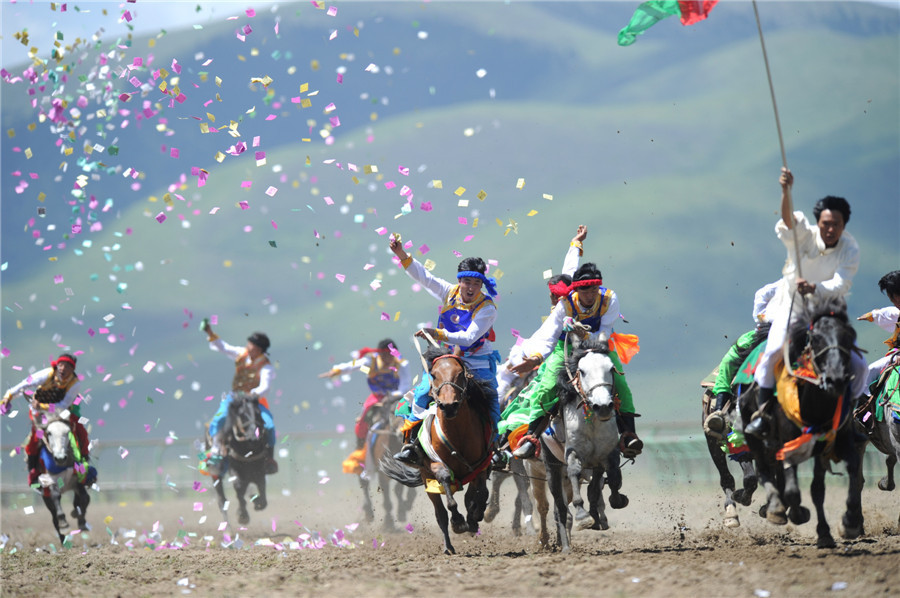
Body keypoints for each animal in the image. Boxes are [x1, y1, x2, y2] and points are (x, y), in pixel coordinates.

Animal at [207, 394, 270, 524]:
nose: (254, 437)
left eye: (258, 413)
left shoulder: (259, 468)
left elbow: (261, 487)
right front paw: (242, 515)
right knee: (222, 500)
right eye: (242, 415)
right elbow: (239, 487)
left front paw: (256, 501)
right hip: (216, 473)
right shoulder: (235, 468)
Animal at [380, 350, 492, 556]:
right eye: (433, 374)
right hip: (426, 478)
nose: (449, 406)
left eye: (460, 373)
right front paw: (458, 521)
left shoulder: (480, 465)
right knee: (440, 514)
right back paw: (449, 546)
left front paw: (475, 516)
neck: (457, 433)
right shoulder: (433, 464)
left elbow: (480, 494)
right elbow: (446, 479)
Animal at [540, 336, 624, 556]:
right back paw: (565, 546)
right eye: (582, 371)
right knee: (560, 509)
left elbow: (610, 477)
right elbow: (575, 472)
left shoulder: (605, 454)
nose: (603, 406)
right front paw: (583, 516)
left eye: (611, 368)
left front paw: (613, 501)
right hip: (551, 466)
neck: (592, 421)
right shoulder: (573, 453)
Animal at [740, 298, 864, 552]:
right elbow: (793, 489)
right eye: (816, 339)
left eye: (849, 336)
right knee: (764, 471)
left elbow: (827, 484)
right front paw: (796, 513)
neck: (814, 405)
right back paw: (775, 508)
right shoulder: (789, 441)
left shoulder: (834, 440)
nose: (836, 378)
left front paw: (843, 525)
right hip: (755, 437)